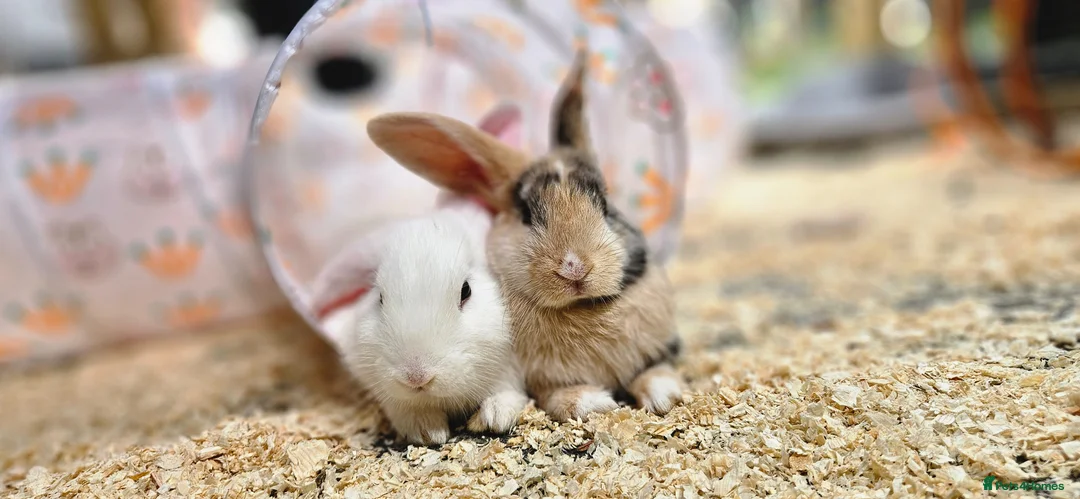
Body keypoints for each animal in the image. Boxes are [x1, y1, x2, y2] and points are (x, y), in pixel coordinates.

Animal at [365, 48, 686, 423]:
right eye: (527, 215)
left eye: (606, 206)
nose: (575, 267)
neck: (582, 308)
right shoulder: (542, 382)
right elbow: (557, 396)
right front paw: (593, 402)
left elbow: (654, 371)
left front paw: (665, 395)